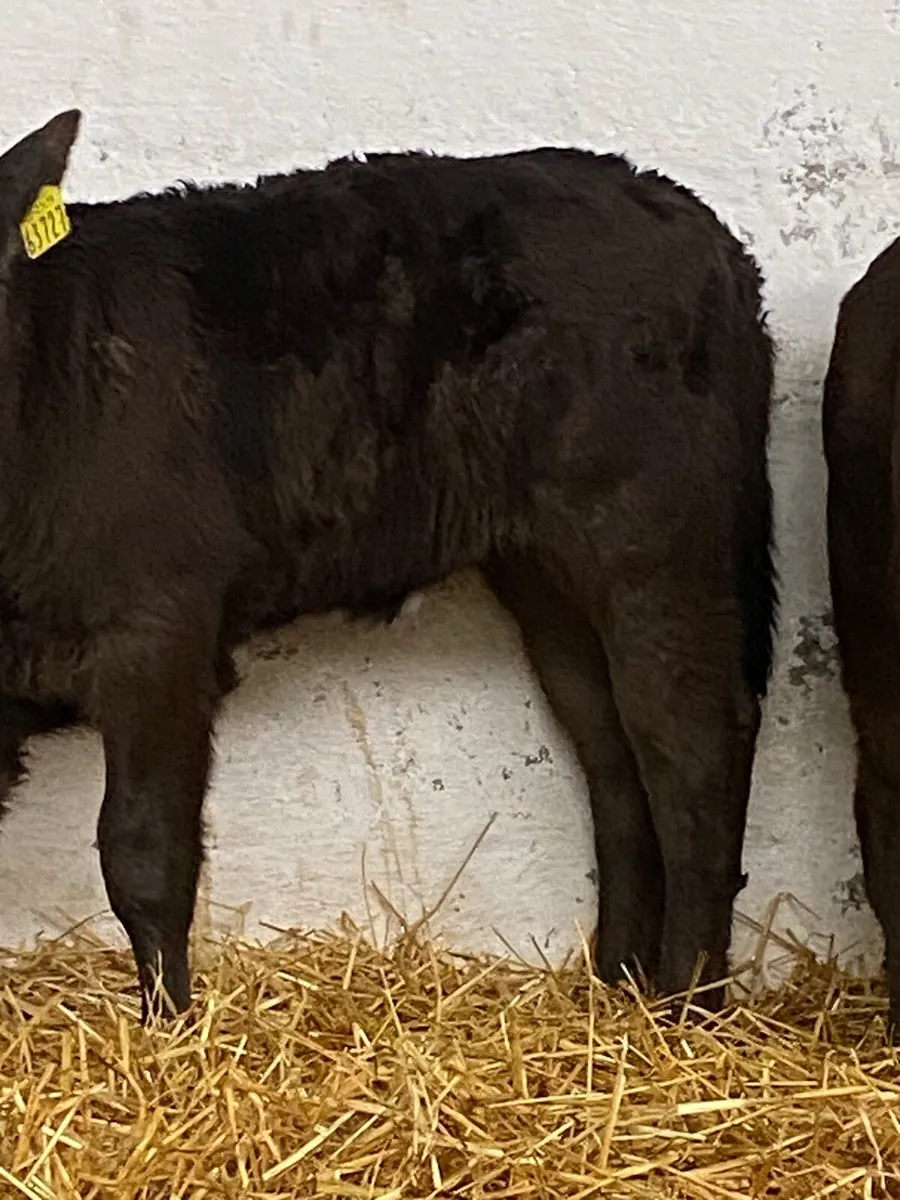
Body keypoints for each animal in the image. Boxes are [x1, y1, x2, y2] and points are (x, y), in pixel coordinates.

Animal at [0, 109, 777, 1023]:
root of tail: (689, 218)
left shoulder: (156, 631)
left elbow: (143, 852)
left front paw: (171, 1029)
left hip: (654, 540)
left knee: (690, 744)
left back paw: (687, 1009)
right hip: (547, 572)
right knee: (612, 750)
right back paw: (616, 983)